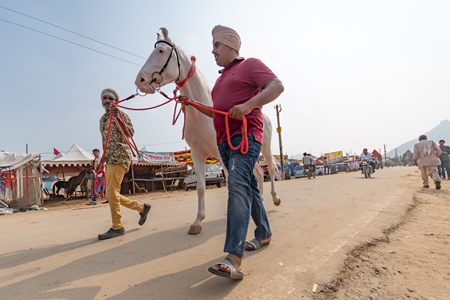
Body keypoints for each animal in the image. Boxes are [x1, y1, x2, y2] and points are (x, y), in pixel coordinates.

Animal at [135, 27, 280, 234]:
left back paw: (275, 198)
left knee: (272, 170)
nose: (140, 80)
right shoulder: (197, 155)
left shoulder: (222, 155)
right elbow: (201, 188)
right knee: (260, 173)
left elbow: (230, 185)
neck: (203, 118)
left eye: (161, 51)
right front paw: (197, 222)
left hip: (264, 149)